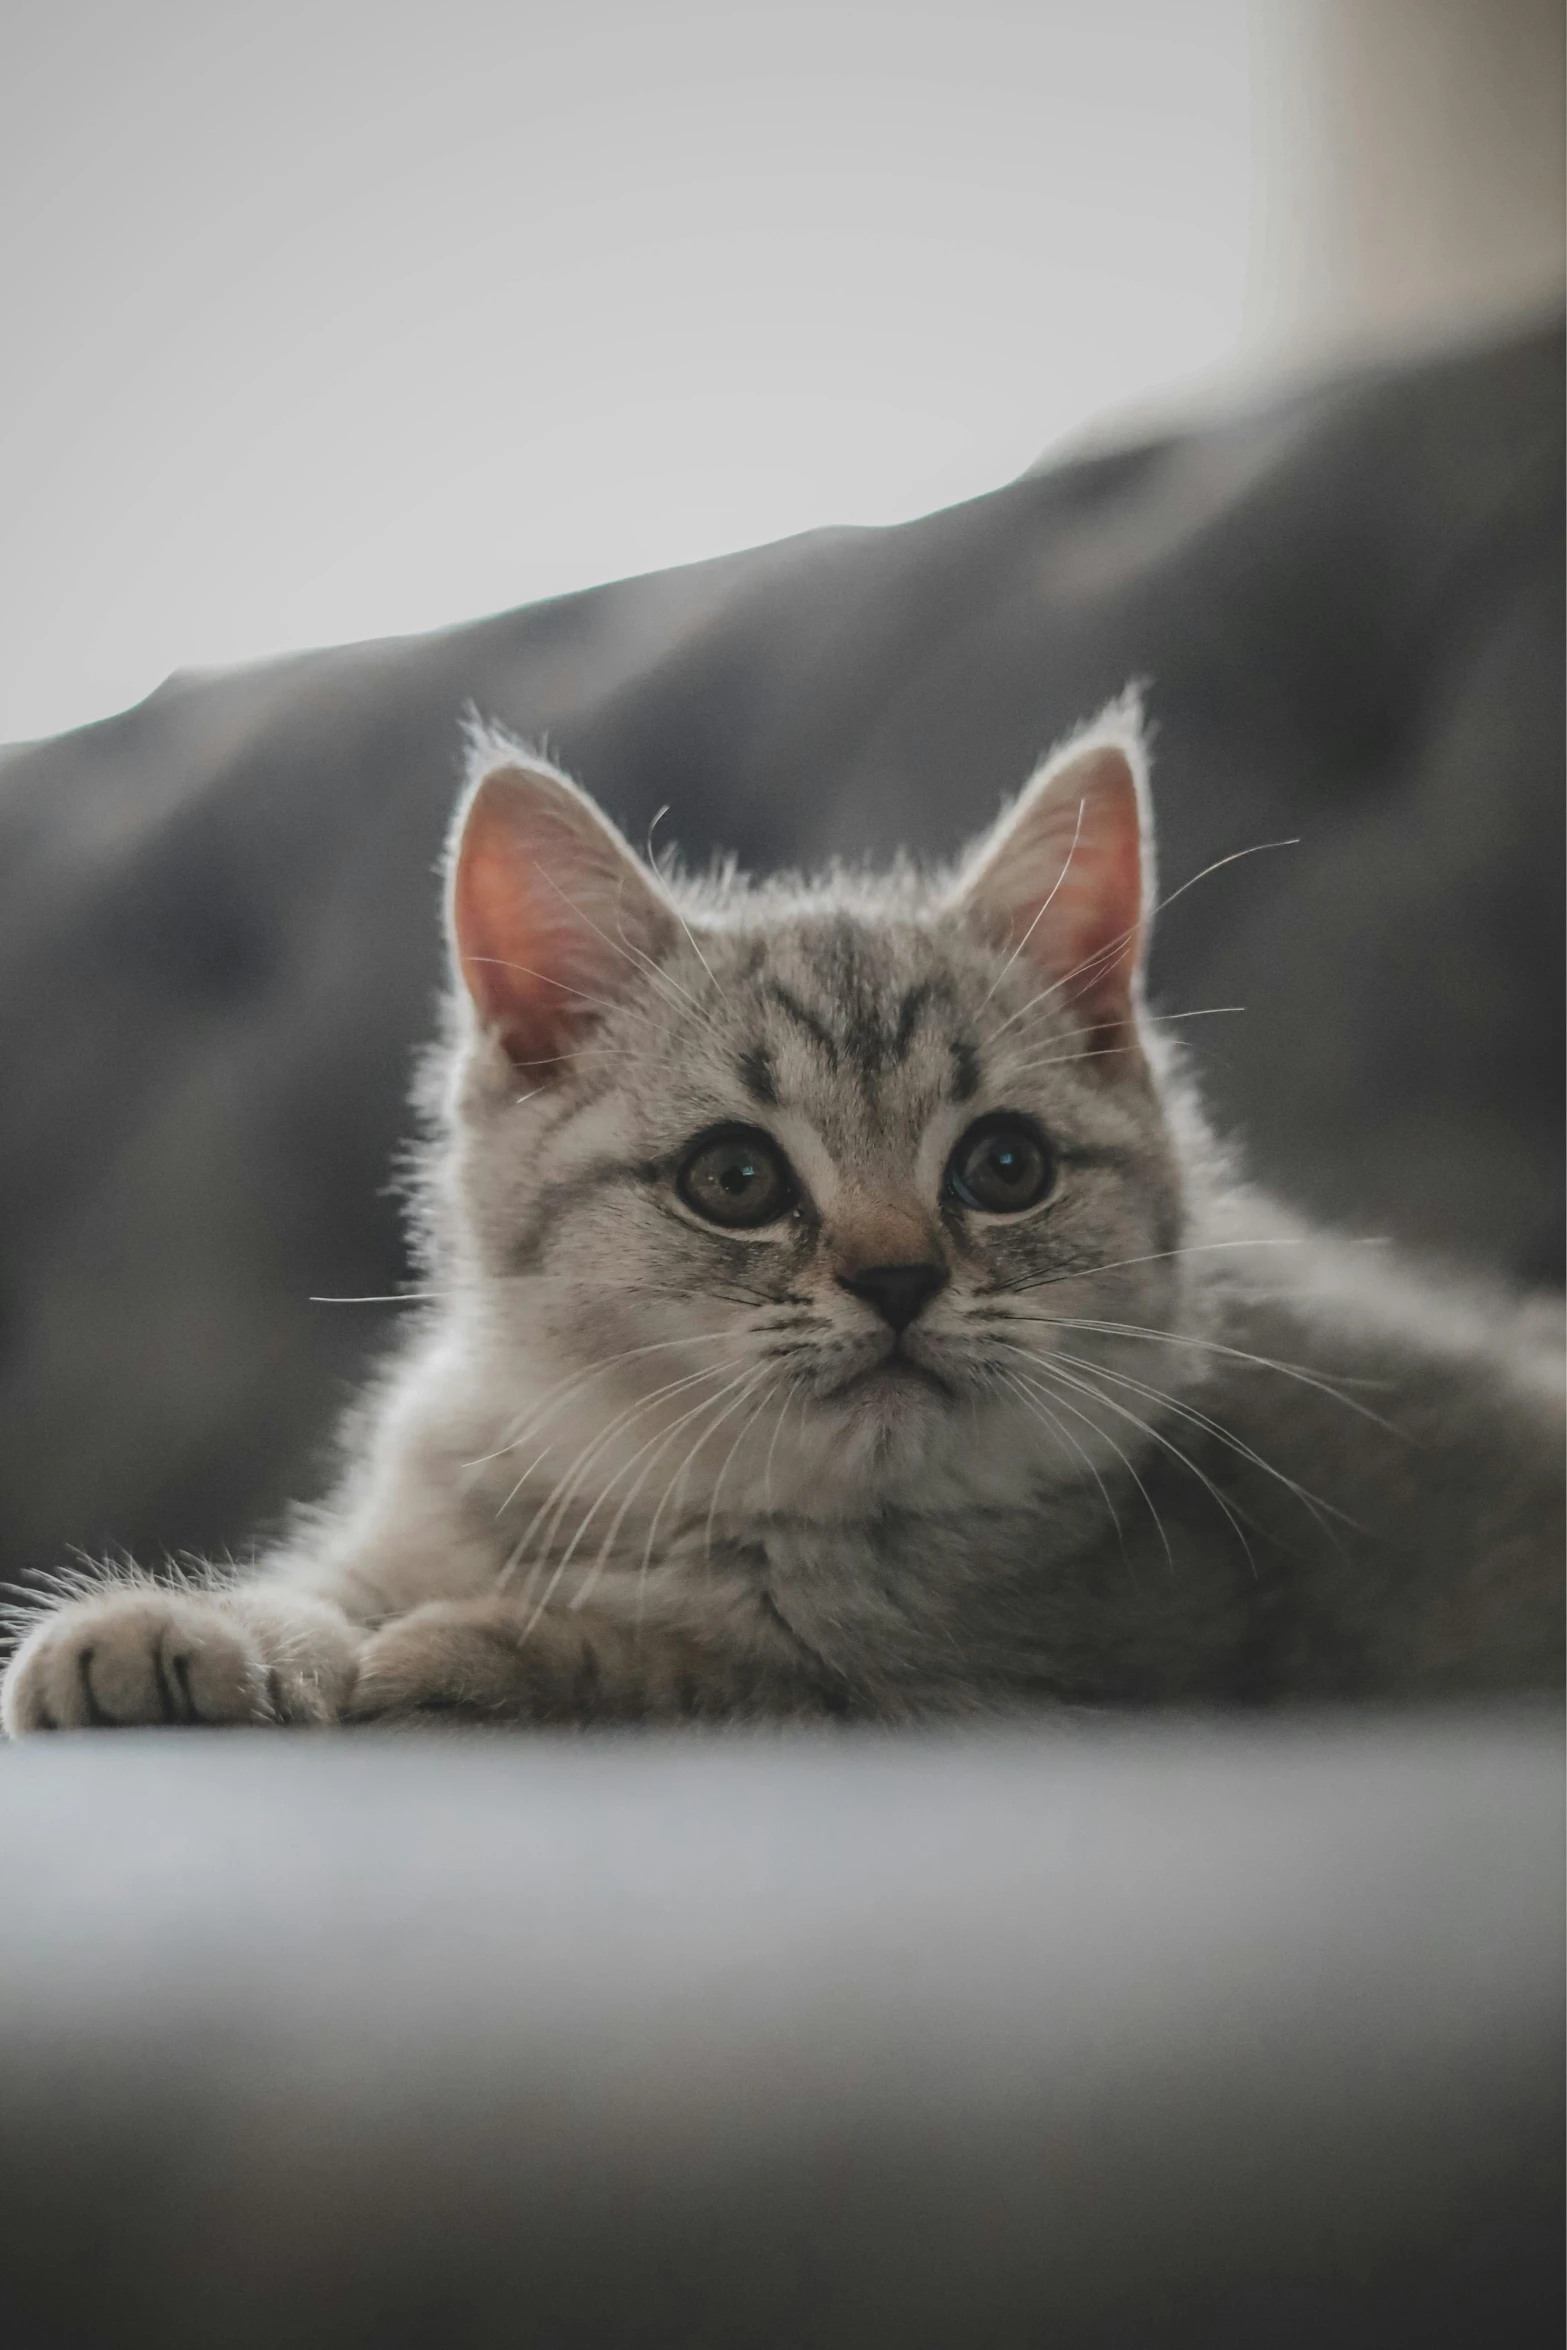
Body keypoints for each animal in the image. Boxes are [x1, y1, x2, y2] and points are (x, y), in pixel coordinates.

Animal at [0, 705, 1559, 1738]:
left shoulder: (1056, 1670)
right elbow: (323, 1587)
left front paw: (488, 1645)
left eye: (1002, 1167)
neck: (674, 1495)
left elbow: (729, 1665)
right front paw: (186, 1622)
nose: (897, 1277)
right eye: (735, 1179)